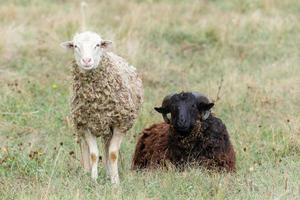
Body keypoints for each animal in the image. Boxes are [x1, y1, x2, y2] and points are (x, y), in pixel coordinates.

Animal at [60, 31, 143, 184]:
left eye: (97, 45)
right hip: (80, 124)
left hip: (108, 126)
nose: (87, 61)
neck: (97, 101)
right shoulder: (86, 124)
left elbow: (113, 153)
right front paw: (93, 179)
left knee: (106, 146)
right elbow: (93, 154)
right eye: (75, 46)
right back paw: (87, 171)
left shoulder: (120, 124)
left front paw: (115, 181)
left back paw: (109, 173)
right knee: (85, 147)